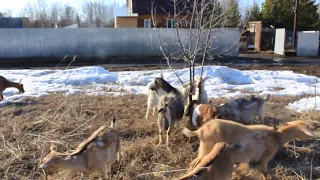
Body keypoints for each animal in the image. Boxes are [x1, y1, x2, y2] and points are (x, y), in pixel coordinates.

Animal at [181, 119, 316, 179]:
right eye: (308, 129)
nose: (313, 135)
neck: (277, 136)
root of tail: (200, 131)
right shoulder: (264, 159)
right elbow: (264, 173)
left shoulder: (247, 159)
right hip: (207, 149)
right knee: (196, 164)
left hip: (204, 150)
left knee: (194, 163)